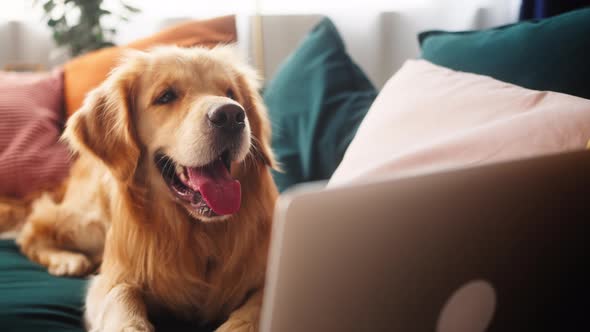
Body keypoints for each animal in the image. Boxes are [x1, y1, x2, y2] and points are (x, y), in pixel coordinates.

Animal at [9, 45, 278, 330]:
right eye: (166, 96)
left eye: (230, 94)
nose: (231, 115)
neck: (198, 234)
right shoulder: (111, 280)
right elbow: (123, 296)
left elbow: (255, 308)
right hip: (89, 224)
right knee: (32, 229)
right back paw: (67, 260)